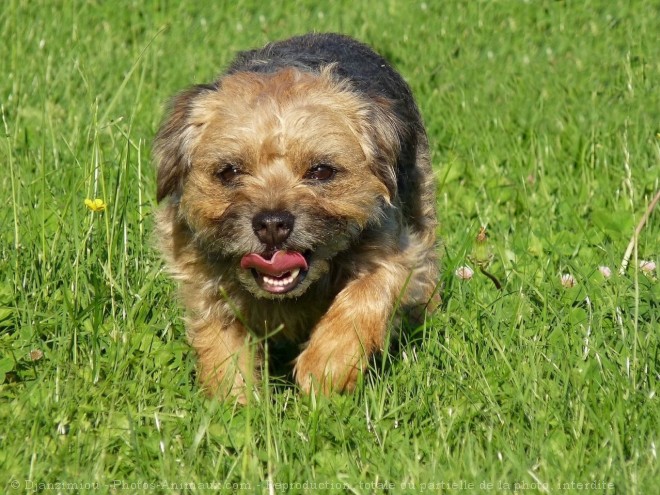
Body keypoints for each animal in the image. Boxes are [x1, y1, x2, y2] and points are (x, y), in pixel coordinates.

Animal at [153, 32, 438, 404]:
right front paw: (234, 405)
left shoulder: (395, 250)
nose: (272, 223)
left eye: (321, 171)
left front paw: (326, 366)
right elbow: (222, 343)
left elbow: (366, 293)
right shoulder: (205, 280)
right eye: (229, 172)